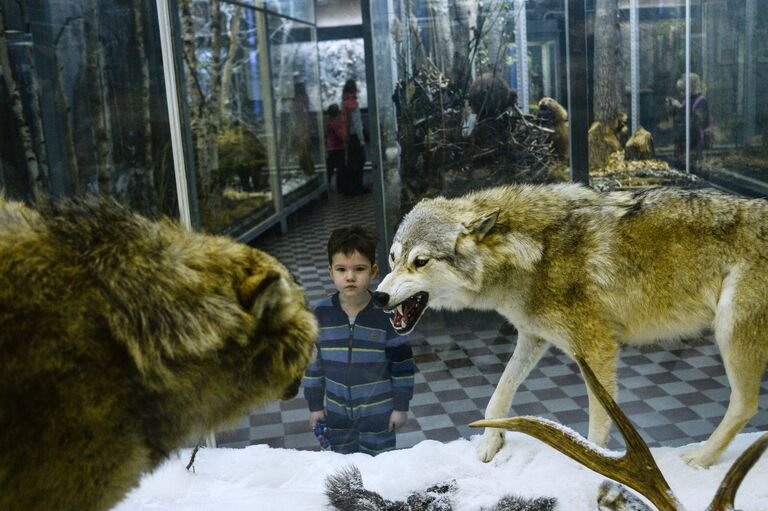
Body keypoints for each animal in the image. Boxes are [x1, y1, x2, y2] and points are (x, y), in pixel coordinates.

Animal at [376, 184, 768, 468]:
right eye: (393, 259)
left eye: (420, 262)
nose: (378, 296)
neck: (533, 253)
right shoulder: (532, 338)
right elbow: (497, 396)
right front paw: (491, 443)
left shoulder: (597, 347)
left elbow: (598, 421)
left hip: (730, 332)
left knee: (745, 406)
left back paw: (701, 458)